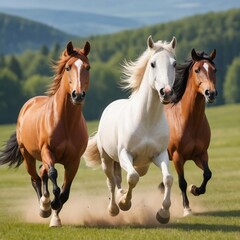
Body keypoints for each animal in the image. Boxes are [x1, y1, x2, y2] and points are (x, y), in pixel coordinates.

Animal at [0, 40, 91, 227]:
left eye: (88, 67)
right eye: (68, 67)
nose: (78, 95)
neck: (66, 122)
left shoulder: (74, 161)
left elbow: (65, 192)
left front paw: (56, 215)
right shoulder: (47, 152)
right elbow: (53, 174)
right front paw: (50, 207)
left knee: (42, 173)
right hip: (28, 155)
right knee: (36, 177)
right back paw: (44, 206)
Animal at [83, 36, 177, 224]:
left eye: (174, 64)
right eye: (153, 64)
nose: (166, 92)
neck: (147, 120)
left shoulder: (160, 155)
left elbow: (168, 179)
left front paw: (163, 214)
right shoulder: (125, 154)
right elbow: (132, 178)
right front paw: (124, 203)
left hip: (142, 165)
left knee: (122, 178)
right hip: (107, 159)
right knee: (111, 181)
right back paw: (113, 208)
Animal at [163, 48, 218, 216]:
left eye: (214, 69)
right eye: (197, 70)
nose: (210, 93)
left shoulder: (200, 154)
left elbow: (208, 174)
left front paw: (195, 189)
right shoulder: (177, 157)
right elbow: (182, 182)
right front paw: (187, 208)